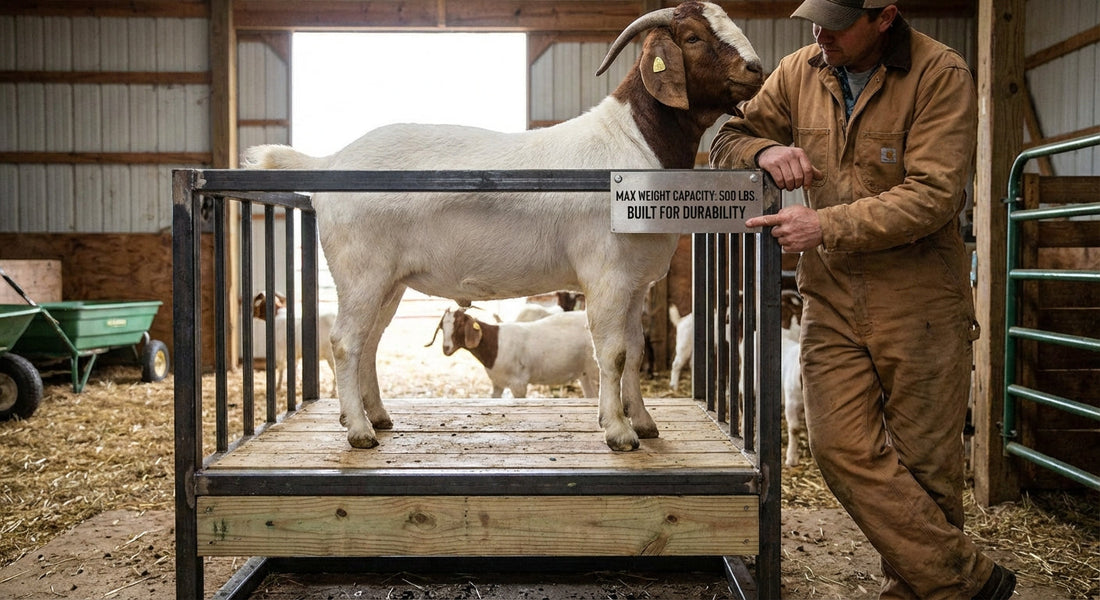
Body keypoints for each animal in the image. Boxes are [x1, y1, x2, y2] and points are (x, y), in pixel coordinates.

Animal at [427, 307, 599, 399]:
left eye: (460, 324)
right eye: (442, 326)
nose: (446, 348)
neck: (495, 343)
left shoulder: (519, 384)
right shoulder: (497, 383)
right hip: (584, 373)